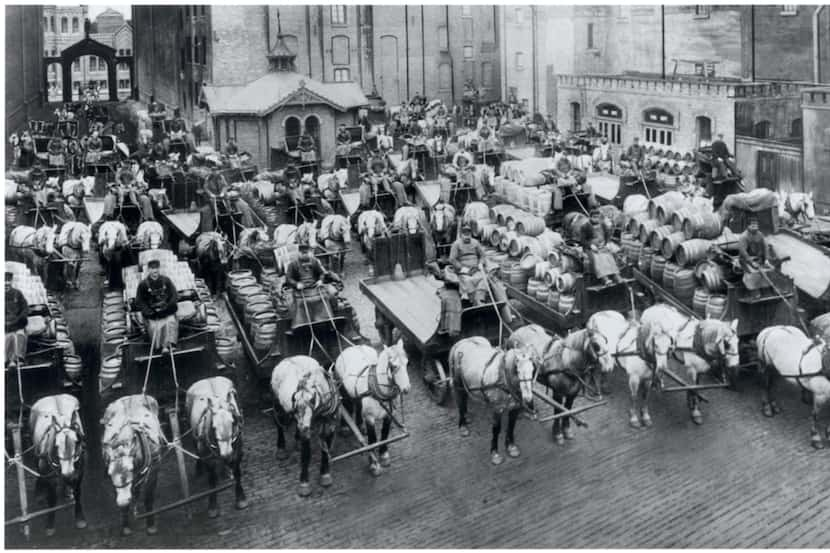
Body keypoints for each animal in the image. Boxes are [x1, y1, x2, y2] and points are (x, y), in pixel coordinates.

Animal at [28, 392, 86, 536]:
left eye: (77, 442)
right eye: (56, 445)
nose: (68, 473)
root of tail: (54, 395)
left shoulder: (80, 471)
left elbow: (78, 492)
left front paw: (80, 519)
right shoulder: (50, 475)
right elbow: (52, 498)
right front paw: (49, 525)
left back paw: (67, 491)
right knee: (38, 468)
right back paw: (39, 493)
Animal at [101, 394, 166, 532]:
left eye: (130, 468)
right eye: (109, 473)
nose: (122, 501)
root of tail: (130, 396)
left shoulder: (154, 469)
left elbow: (148, 497)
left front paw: (150, 524)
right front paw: (125, 525)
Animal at [270, 358, 342, 496]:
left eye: (312, 400)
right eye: (295, 400)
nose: (303, 427)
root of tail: (286, 359)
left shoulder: (329, 425)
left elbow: (325, 450)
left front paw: (325, 475)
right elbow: (306, 454)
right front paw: (304, 484)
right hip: (278, 405)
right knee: (278, 424)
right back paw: (281, 449)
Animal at [332, 340, 410, 474]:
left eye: (407, 362)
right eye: (393, 366)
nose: (406, 389)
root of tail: (351, 348)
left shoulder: (389, 415)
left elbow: (385, 433)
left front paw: (384, 455)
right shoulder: (370, 418)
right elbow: (373, 439)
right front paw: (374, 464)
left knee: (358, 404)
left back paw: (359, 425)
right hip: (342, 388)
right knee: (346, 405)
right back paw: (345, 427)